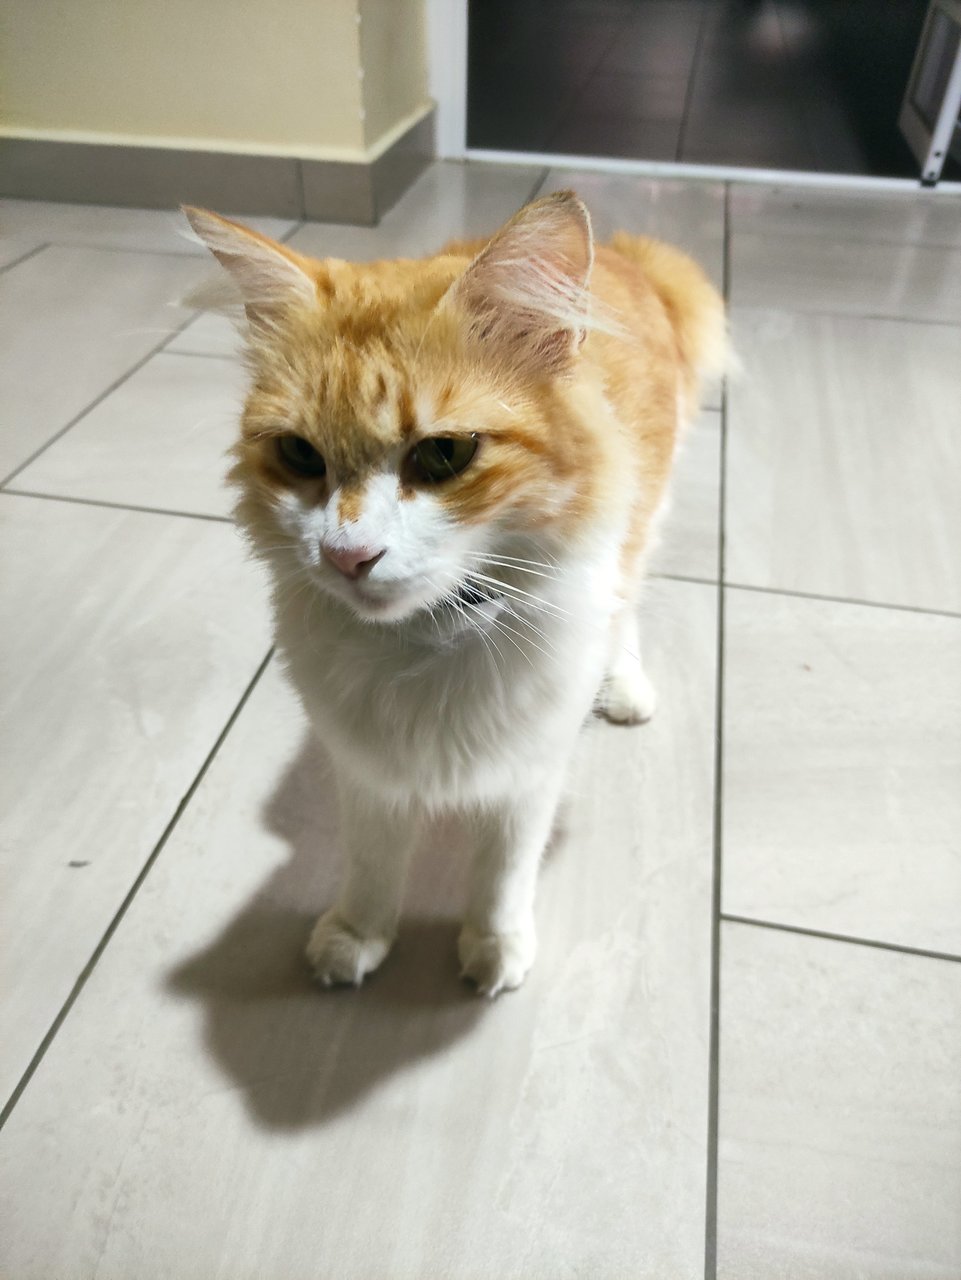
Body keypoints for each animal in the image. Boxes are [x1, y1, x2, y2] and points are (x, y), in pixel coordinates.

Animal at [184, 189, 726, 993]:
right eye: (300, 455)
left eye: (442, 454)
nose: (347, 556)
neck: (429, 637)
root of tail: (628, 255)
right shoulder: (365, 771)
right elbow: (373, 863)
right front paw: (358, 935)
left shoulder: (529, 768)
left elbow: (502, 869)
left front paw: (493, 949)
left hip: (643, 522)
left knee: (625, 607)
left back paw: (624, 685)